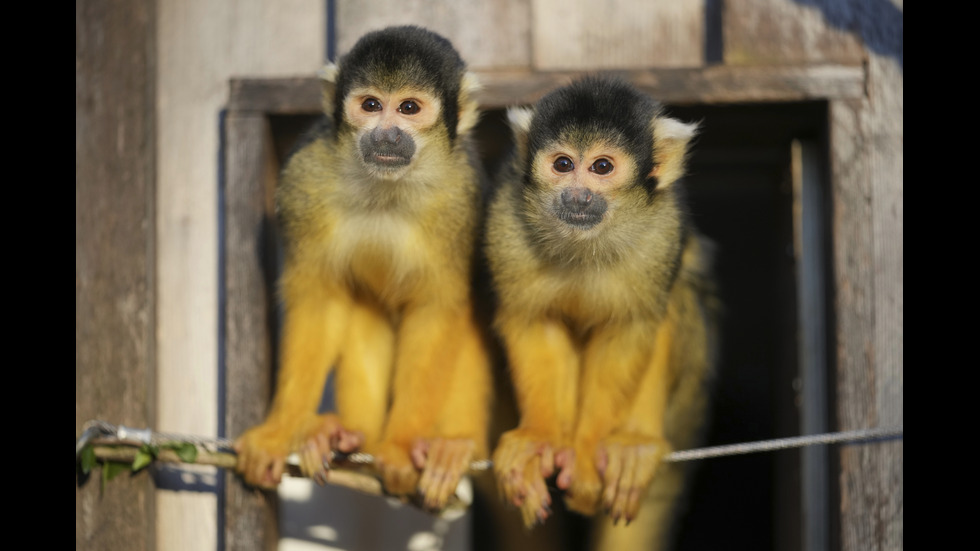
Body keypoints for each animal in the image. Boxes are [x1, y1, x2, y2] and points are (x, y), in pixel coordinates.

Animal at [234, 23, 494, 512]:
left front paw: (401, 448)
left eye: (409, 108)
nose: (387, 136)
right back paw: (349, 439)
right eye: (371, 105)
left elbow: (438, 308)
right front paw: (280, 431)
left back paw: (453, 446)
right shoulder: (303, 178)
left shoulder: (464, 198)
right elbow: (319, 299)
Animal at [486, 76, 716, 548]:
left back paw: (635, 441)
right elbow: (532, 321)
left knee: (674, 298)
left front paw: (590, 453)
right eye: (562, 164)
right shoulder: (506, 217)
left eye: (602, 167)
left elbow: (628, 330)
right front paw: (538, 437)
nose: (577, 194)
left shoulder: (662, 229)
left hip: (687, 405)